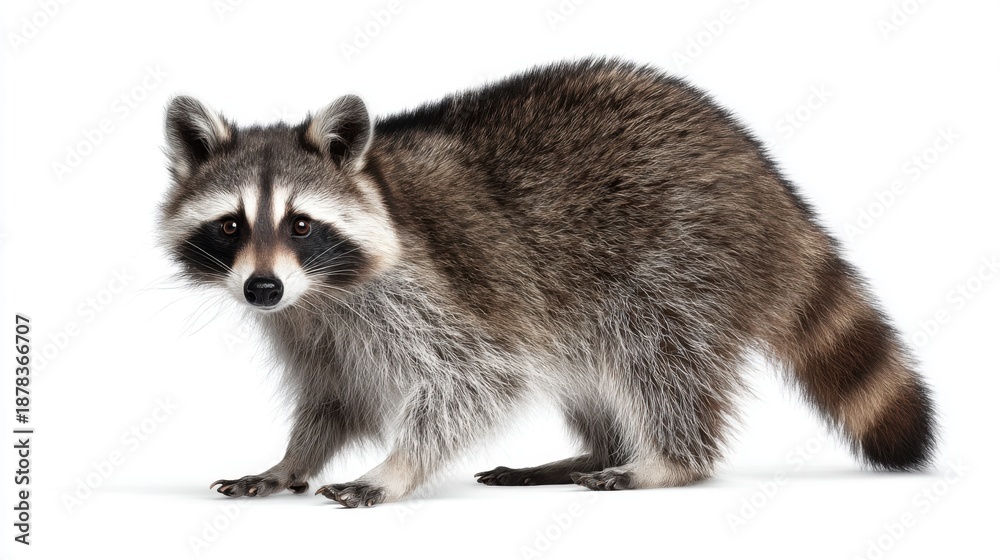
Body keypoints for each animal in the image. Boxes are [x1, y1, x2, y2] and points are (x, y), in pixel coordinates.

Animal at [158, 58, 935, 508]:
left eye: (301, 225)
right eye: (229, 225)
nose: (261, 290)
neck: (320, 291)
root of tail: (764, 175)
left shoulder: (426, 289)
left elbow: (475, 381)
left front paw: (397, 466)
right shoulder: (313, 328)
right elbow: (335, 397)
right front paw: (293, 458)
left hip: (682, 259)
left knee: (659, 358)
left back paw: (666, 461)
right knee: (596, 366)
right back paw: (598, 449)